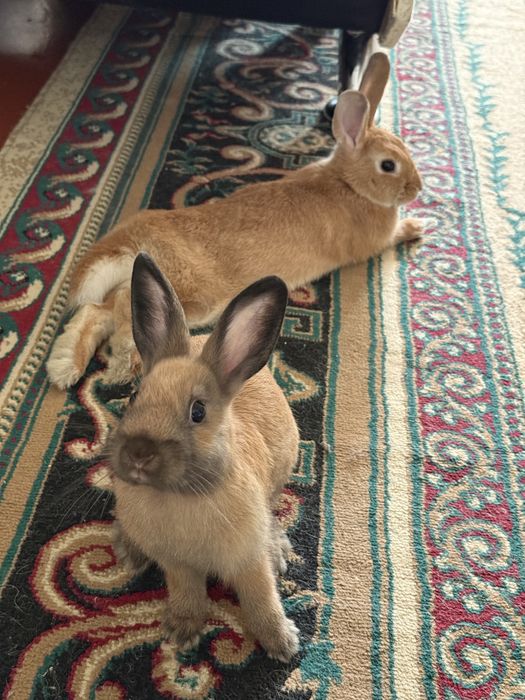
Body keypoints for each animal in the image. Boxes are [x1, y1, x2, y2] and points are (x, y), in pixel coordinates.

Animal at [47, 52, 423, 389]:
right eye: (388, 165)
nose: (417, 188)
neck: (348, 182)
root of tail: (131, 241)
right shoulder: (374, 240)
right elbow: (393, 235)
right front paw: (417, 227)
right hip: (191, 293)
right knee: (124, 307)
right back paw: (122, 366)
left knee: (97, 309)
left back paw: (64, 367)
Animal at [109, 252, 300, 662]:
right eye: (134, 397)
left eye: (198, 412)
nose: (138, 454)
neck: (182, 495)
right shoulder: (177, 565)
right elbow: (187, 591)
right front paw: (182, 630)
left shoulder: (248, 561)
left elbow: (262, 597)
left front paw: (282, 643)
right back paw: (129, 550)